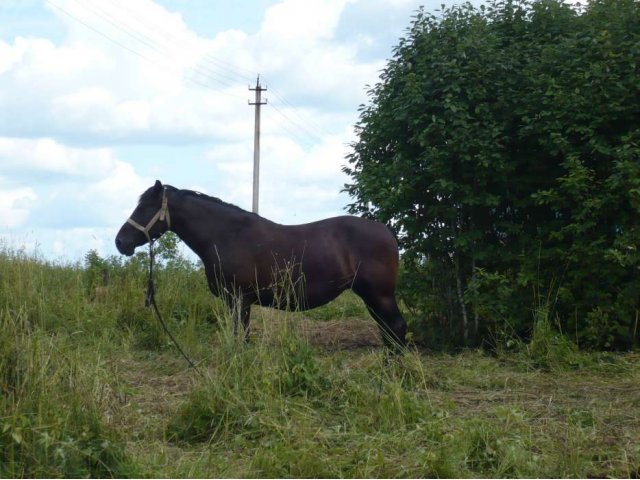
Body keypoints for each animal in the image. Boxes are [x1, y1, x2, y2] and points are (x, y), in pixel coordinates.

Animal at [114, 180, 404, 348]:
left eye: (144, 207)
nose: (121, 242)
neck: (227, 235)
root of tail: (387, 232)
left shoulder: (239, 300)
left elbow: (240, 339)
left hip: (379, 295)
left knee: (396, 330)